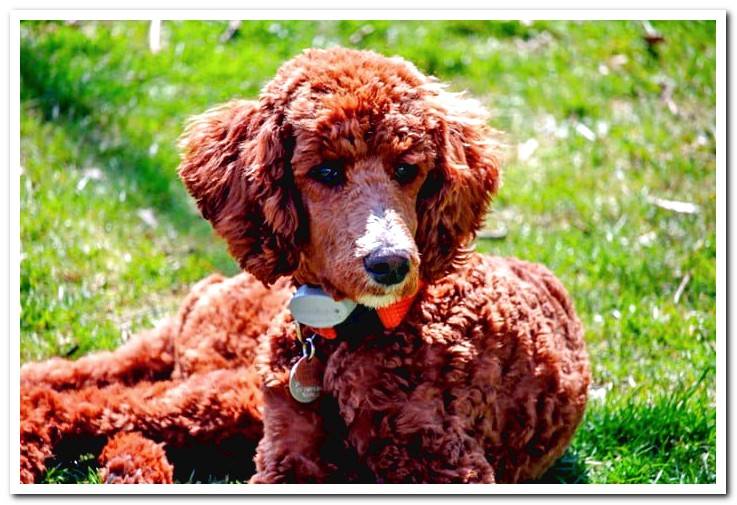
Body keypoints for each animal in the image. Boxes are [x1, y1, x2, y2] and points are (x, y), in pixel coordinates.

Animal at [18, 48, 588, 484]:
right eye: (327, 171)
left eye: (408, 169)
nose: (390, 264)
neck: (346, 338)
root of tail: (213, 284)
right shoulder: (285, 455)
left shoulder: (446, 462)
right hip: (230, 389)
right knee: (71, 400)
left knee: (107, 414)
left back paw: (128, 469)